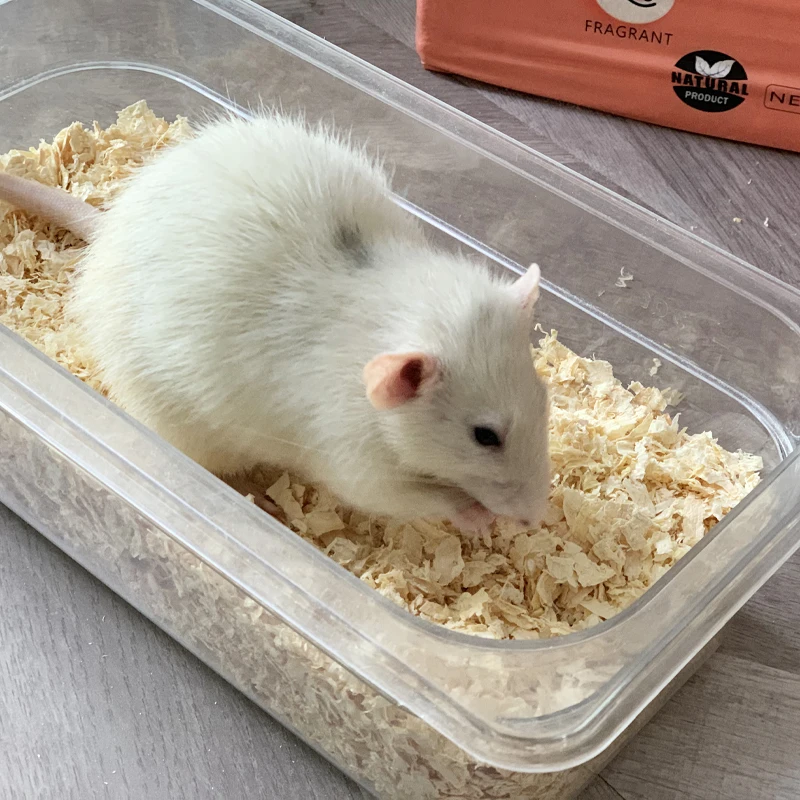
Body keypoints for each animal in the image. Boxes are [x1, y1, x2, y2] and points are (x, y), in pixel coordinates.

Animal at [0, 113, 551, 529]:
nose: (535, 519)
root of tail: (108, 226)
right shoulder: (349, 451)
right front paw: (474, 514)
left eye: (543, 397)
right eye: (484, 436)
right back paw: (259, 498)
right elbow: (388, 494)